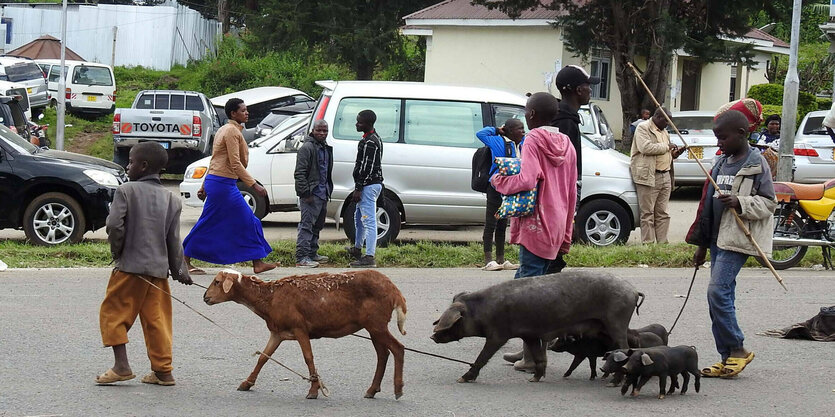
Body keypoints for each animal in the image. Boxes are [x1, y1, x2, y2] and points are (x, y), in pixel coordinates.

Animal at [206, 268, 408, 398]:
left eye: (217, 282)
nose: (205, 297)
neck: (269, 299)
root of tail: (394, 290)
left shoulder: (299, 328)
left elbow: (308, 357)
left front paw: (313, 390)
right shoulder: (277, 332)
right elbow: (263, 357)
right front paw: (246, 384)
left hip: (376, 323)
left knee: (398, 348)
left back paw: (398, 389)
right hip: (373, 326)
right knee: (383, 354)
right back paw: (372, 390)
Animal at [434, 272, 644, 382]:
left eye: (455, 321)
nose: (432, 336)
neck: (481, 311)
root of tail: (633, 290)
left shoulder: (498, 334)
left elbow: (483, 356)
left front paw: (462, 379)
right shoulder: (530, 335)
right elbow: (538, 357)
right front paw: (534, 379)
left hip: (616, 320)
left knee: (624, 348)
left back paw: (616, 380)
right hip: (608, 327)